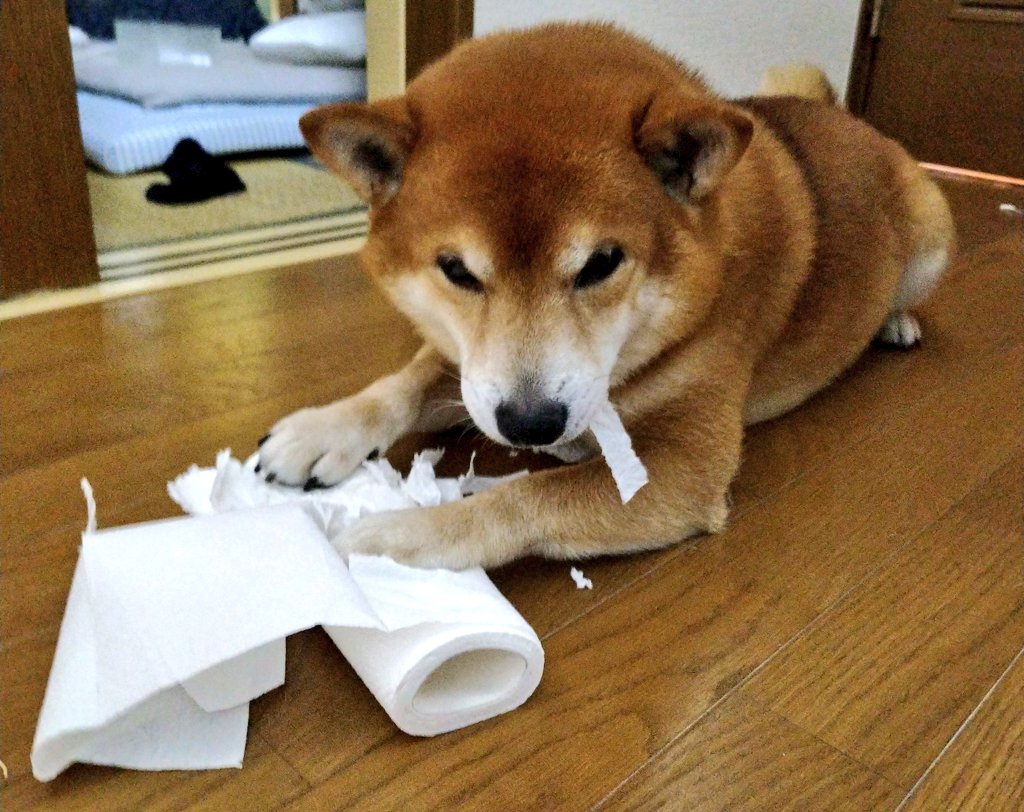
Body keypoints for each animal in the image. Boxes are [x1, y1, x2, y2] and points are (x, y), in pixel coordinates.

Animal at [257, 23, 955, 569]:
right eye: (456, 270)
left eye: (602, 264)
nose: (530, 423)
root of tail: (842, 114)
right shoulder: (469, 367)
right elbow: (400, 385)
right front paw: (322, 430)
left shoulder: (684, 465)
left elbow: (526, 495)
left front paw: (403, 534)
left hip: (932, 234)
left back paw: (894, 321)